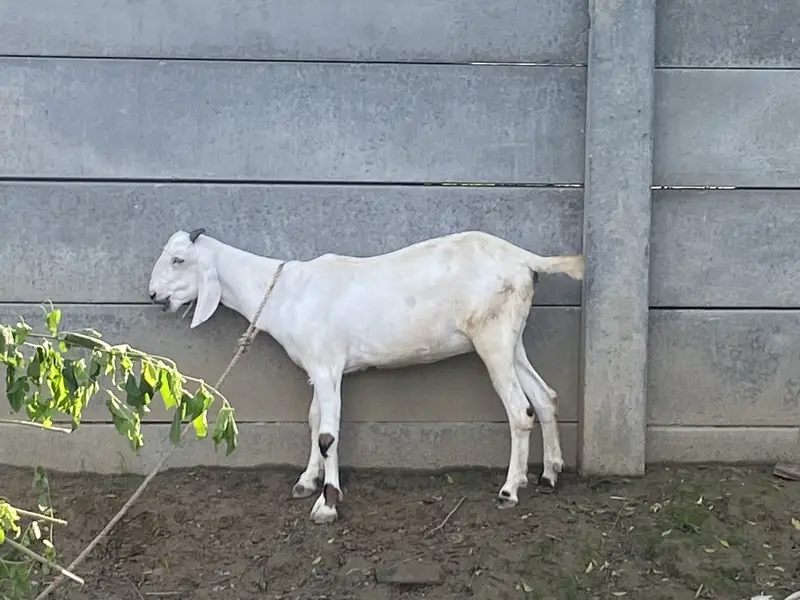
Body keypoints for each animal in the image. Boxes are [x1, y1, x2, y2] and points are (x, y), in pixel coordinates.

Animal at [148, 228, 584, 524]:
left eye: (178, 260)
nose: (154, 296)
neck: (288, 291)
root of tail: (525, 260)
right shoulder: (317, 367)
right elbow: (313, 421)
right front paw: (306, 482)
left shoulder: (328, 366)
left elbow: (328, 434)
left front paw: (327, 504)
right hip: (512, 338)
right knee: (544, 397)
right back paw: (549, 474)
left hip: (491, 336)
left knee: (519, 410)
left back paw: (510, 490)